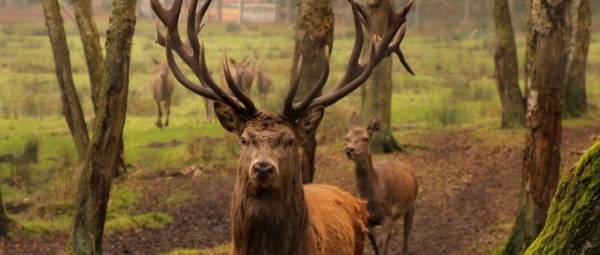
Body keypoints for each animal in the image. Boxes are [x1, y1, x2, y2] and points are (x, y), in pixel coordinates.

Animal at [344, 113, 420, 255]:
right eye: (347, 138)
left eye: (366, 138)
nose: (349, 149)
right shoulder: (368, 221)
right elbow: (376, 245)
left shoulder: (387, 215)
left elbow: (380, 242)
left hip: (411, 203)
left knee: (406, 233)